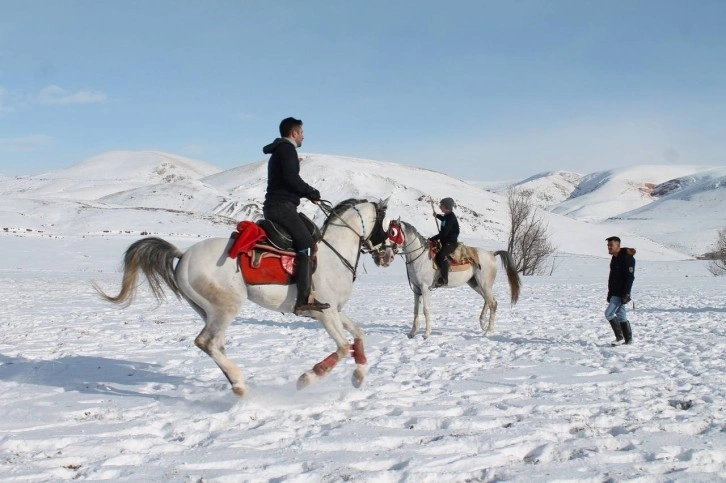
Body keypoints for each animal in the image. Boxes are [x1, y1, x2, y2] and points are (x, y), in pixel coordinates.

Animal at [100, 199, 392, 396]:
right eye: (384, 224)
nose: (387, 255)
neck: (334, 254)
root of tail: (183, 255)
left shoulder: (335, 311)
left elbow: (358, 334)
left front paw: (359, 375)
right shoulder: (325, 312)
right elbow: (342, 347)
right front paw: (308, 378)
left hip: (209, 311)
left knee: (216, 345)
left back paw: (236, 383)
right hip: (226, 307)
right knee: (206, 342)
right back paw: (240, 384)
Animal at [372, 220, 520, 338]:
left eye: (393, 232)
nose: (386, 255)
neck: (420, 257)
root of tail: (491, 253)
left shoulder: (425, 288)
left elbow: (425, 310)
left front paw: (426, 334)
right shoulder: (416, 289)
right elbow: (415, 310)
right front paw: (412, 333)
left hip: (484, 284)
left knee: (493, 303)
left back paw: (488, 331)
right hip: (475, 284)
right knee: (488, 301)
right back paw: (482, 323)